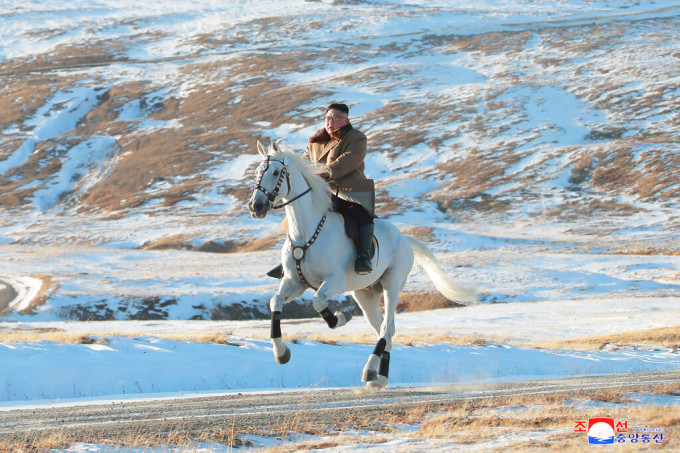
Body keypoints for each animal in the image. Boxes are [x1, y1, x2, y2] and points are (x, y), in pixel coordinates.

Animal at [247, 141, 476, 388]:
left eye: (275, 172)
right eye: (257, 172)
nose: (256, 206)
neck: (305, 232)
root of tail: (404, 238)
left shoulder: (334, 281)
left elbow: (318, 301)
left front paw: (340, 318)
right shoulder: (294, 282)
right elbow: (275, 302)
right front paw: (281, 353)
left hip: (392, 284)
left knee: (386, 328)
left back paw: (369, 370)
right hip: (365, 294)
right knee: (384, 330)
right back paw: (379, 376)